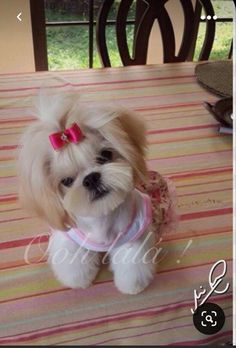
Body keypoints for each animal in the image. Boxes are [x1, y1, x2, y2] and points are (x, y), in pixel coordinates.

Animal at [18, 91, 175, 294]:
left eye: (105, 155)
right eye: (67, 181)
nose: (91, 178)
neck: (102, 215)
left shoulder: (134, 234)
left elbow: (132, 263)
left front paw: (132, 286)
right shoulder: (71, 238)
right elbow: (74, 260)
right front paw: (78, 280)